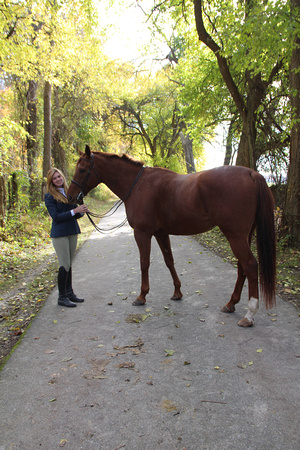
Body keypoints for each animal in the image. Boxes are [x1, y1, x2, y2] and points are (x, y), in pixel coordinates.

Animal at [68, 147, 276, 326]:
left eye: (82, 169)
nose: (70, 197)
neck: (137, 184)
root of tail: (251, 174)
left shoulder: (142, 233)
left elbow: (144, 263)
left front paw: (141, 296)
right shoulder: (161, 233)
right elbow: (169, 261)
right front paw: (177, 292)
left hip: (235, 236)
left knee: (250, 265)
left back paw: (249, 314)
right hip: (243, 236)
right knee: (242, 267)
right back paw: (231, 304)